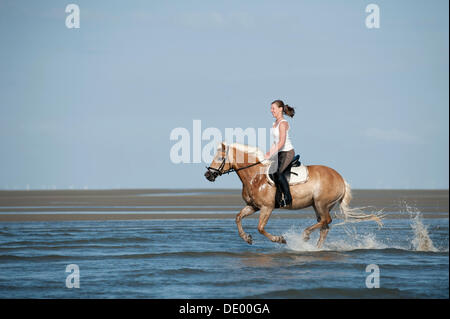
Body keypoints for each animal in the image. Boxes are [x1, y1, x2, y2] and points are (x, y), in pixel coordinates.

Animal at [205, 142, 384, 250]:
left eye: (220, 158)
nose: (208, 175)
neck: (256, 175)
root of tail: (340, 178)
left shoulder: (267, 207)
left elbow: (260, 228)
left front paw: (280, 239)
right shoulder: (253, 206)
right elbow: (237, 217)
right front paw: (246, 238)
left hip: (321, 203)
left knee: (326, 221)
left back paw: (305, 236)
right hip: (318, 206)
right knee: (324, 226)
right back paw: (316, 248)